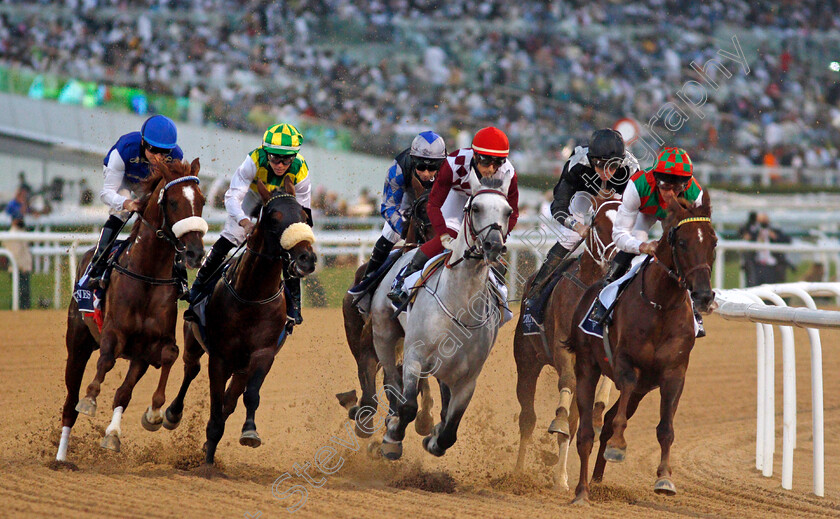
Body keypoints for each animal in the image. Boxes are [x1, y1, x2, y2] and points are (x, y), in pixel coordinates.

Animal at [57, 158, 208, 464]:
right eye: (173, 202)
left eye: (202, 201)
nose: (196, 253)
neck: (147, 274)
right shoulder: (113, 332)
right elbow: (106, 359)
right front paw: (90, 399)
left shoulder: (150, 346)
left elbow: (168, 357)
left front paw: (153, 414)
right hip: (77, 341)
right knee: (70, 401)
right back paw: (61, 457)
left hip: (137, 357)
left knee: (123, 393)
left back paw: (111, 435)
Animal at [166, 177, 316, 466]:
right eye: (273, 217)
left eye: (304, 217)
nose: (307, 258)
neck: (251, 297)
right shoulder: (220, 358)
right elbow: (215, 406)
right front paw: (208, 463)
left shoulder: (263, 354)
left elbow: (249, 396)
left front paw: (249, 432)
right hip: (193, 340)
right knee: (190, 370)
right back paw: (171, 414)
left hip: (241, 366)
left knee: (231, 398)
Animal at [508, 192, 620, 492]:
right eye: (598, 225)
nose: (618, 258)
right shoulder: (561, 346)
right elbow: (565, 390)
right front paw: (557, 420)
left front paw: (597, 417)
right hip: (526, 361)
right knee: (527, 418)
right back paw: (519, 472)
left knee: (572, 421)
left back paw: (560, 477)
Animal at [564, 191, 716, 504]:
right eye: (682, 242)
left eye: (714, 241)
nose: (704, 296)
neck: (661, 305)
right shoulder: (625, 363)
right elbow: (617, 412)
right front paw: (618, 446)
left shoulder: (674, 373)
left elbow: (666, 428)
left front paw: (665, 478)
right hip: (587, 366)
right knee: (585, 433)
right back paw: (582, 491)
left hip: (644, 388)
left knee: (607, 421)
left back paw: (597, 481)